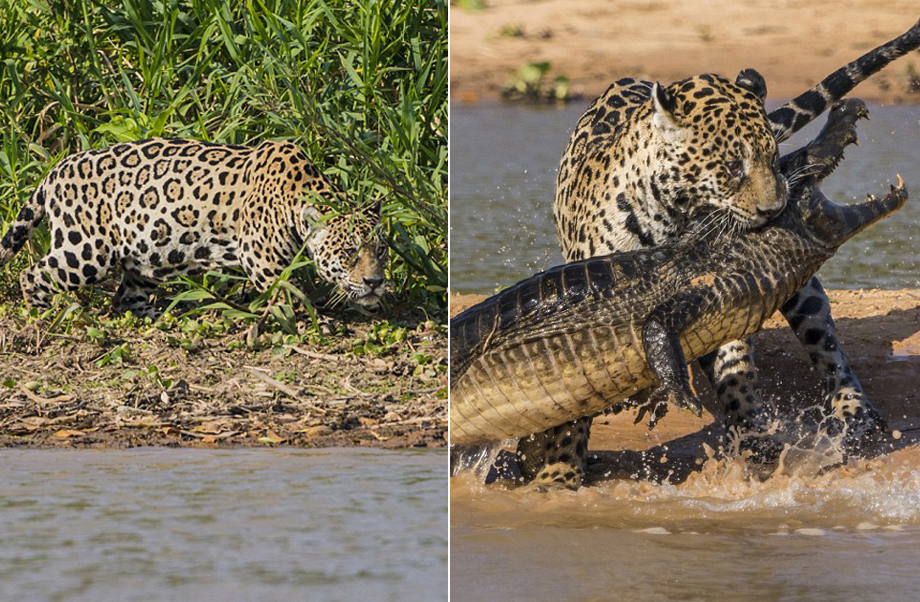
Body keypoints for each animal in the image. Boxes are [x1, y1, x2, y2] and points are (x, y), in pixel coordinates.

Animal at [0, 138, 388, 318]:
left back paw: (164, 317)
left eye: (380, 251)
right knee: (32, 274)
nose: (375, 281)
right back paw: (43, 316)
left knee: (126, 298)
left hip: (148, 256)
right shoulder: (262, 261)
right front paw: (315, 322)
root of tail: (55, 169)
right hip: (85, 250)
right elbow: (291, 295)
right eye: (349, 251)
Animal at [517, 15, 920, 490]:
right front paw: (558, 474)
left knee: (828, 346)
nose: (775, 209)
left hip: (804, 293)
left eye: (773, 158)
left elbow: (735, 365)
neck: (673, 217)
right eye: (732, 167)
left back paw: (853, 409)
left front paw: (754, 436)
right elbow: (569, 404)